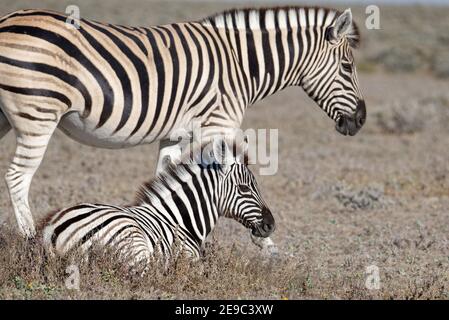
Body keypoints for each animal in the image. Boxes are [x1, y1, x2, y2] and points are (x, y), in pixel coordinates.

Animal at [0, 6, 364, 238]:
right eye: (347, 67)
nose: (359, 121)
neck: (239, 65)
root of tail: (8, 19)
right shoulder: (216, 126)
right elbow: (218, 178)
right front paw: (263, 245)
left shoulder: (175, 135)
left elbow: (167, 178)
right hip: (38, 113)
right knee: (18, 177)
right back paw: (29, 240)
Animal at [42, 139, 274, 264]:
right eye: (244, 188)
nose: (271, 224)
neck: (182, 221)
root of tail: (54, 229)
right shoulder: (190, 260)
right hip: (135, 246)